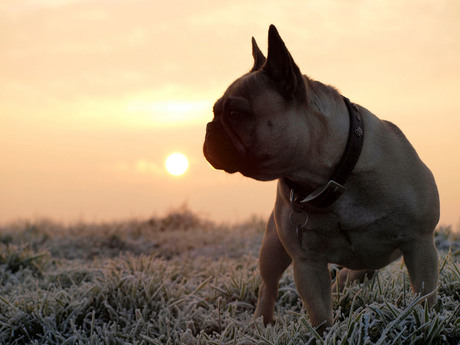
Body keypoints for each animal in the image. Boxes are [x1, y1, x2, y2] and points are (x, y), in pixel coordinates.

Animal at [203, 24, 440, 328]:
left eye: (235, 113)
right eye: (215, 112)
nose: (209, 128)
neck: (333, 178)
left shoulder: (420, 244)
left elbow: (425, 295)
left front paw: (426, 321)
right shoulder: (307, 262)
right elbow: (319, 314)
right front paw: (325, 332)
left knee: (349, 275)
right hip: (272, 247)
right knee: (269, 285)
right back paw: (261, 321)